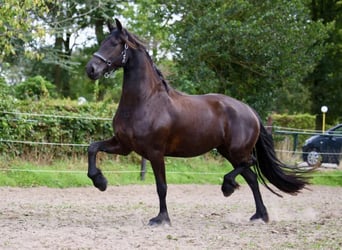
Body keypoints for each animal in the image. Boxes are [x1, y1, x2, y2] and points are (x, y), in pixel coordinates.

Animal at [85, 19, 308, 227]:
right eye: (102, 42)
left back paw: (228, 187)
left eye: (115, 43)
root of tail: (250, 110)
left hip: (237, 152)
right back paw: (259, 215)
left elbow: (161, 187)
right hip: (229, 152)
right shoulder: (124, 146)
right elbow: (92, 148)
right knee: (252, 178)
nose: (91, 69)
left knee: (250, 163)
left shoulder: (155, 153)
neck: (145, 101)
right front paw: (100, 181)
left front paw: (161, 219)